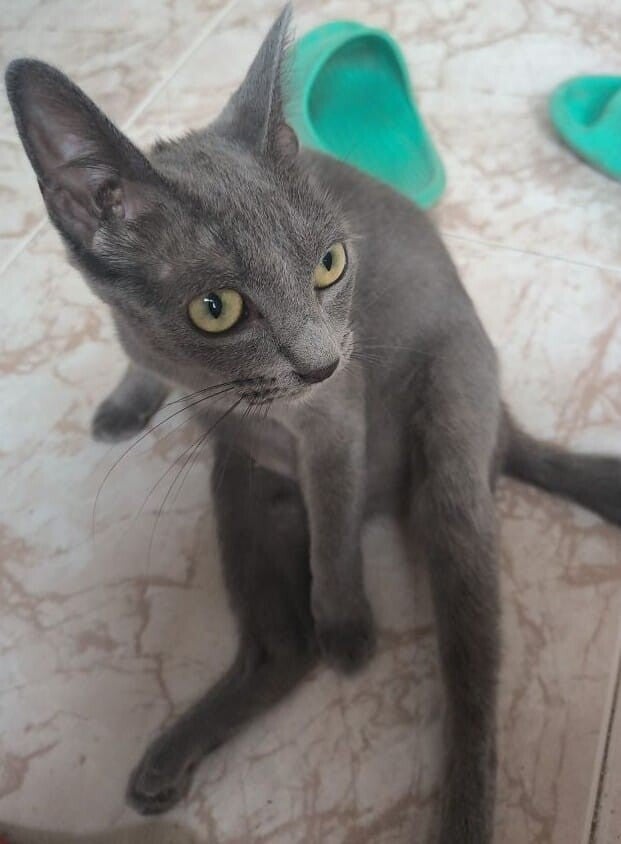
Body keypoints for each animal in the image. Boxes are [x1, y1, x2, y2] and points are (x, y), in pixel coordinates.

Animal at [6, 6, 620, 842]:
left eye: (330, 264)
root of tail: (505, 423)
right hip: (239, 489)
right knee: (281, 650)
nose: (321, 361)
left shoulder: (334, 423)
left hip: (450, 434)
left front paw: (349, 627)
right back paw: (169, 762)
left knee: (470, 675)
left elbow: (332, 529)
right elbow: (138, 361)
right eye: (216, 308)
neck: (204, 378)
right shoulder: (137, 337)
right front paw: (125, 404)